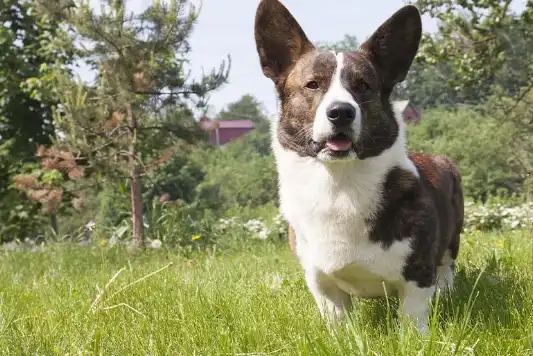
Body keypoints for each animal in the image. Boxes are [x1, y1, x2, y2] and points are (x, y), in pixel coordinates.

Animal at [254, 0, 462, 334]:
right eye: (312, 84)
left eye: (363, 86)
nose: (341, 112)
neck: (339, 184)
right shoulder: (322, 283)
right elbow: (337, 319)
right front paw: (343, 337)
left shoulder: (417, 276)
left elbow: (412, 316)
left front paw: (413, 338)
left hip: (453, 236)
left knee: (447, 264)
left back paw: (446, 289)